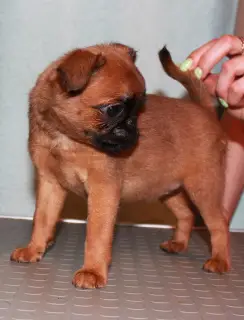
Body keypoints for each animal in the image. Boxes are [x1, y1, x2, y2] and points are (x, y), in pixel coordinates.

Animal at [10, 43, 230, 290]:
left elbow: (97, 233)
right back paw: (178, 244)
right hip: (169, 190)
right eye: (114, 109)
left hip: (204, 188)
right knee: (187, 215)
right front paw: (34, 249)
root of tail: (205, 111)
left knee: (219, 223)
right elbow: (42, 219)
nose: (134, 127)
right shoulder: (50, 184)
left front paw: (92, 271)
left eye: (139, 107)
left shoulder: (102, 191)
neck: (66, 138)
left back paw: (220, 260)